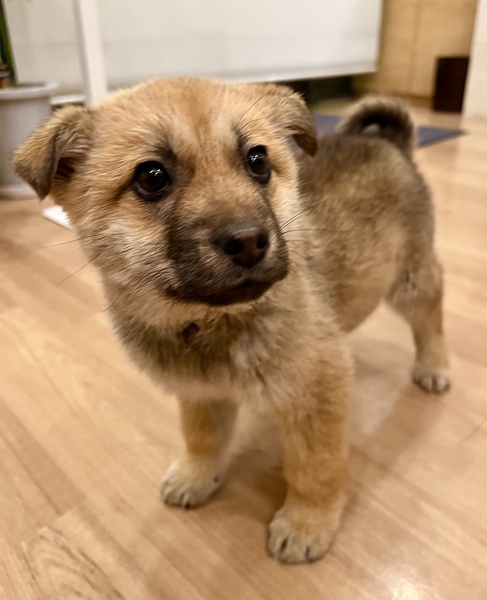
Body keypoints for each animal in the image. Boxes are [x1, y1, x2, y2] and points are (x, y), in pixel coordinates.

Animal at [13, 78, 450, 563]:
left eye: (258, 160)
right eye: (151, 177)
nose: (248, 241)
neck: (209, 321)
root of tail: (389, 143)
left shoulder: (319, 392)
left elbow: (315, 466)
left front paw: (307, 523)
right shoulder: (200, 392)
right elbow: (202, 438)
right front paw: (197, 476)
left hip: (410, 280)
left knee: (432, 313)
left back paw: (434, 366)